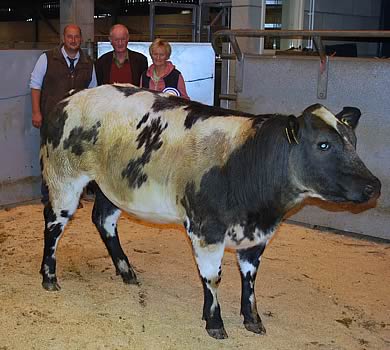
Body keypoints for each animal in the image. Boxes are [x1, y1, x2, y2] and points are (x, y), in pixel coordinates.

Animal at [39, 84, 380, 340]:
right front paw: (215, 322)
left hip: (112, 187)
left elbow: (250, 278)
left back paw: (127, 272)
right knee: (53, 225)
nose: (373, 186)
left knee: (104, 221)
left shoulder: (257, 235)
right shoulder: (207, 229)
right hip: (64, 179)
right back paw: (49, 277)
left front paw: (252, 319)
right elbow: (212, 277)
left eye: (353, 140)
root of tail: (70, 97)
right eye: (323, 145)